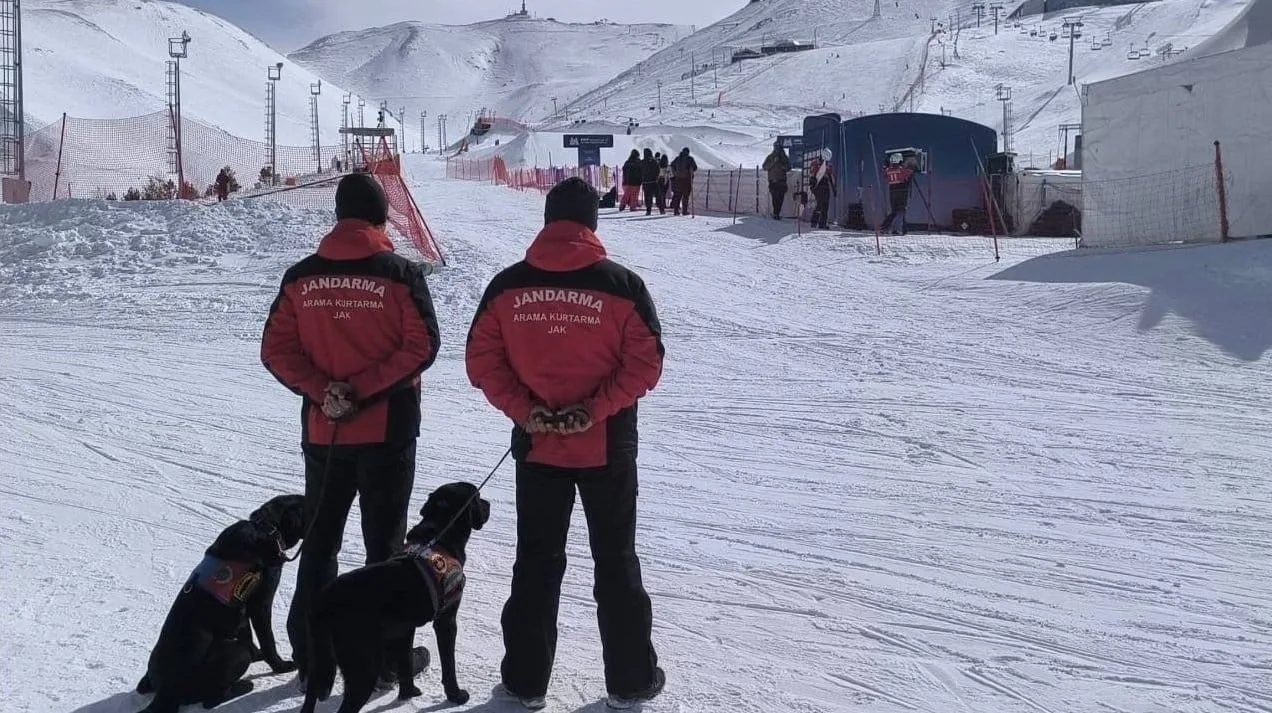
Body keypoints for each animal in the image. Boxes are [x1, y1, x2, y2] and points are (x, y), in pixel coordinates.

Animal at [134, 495, 305, 711]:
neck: (267, 527)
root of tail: (165, 694)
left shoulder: (240, 609)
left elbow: (247, 634)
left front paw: (257, 654)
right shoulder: (260, 605)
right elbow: (268, 642)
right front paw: (281, 667)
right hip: (236, 653)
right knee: (211, 700)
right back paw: (244, 686)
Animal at [300, 480, 488, 706]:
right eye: (478, 497)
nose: (488, 504)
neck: (439, 534)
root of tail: (323, 602)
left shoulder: (405, 628)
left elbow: (405, 662)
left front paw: (408, 692)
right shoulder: (446, 621)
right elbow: (448, 666)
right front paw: (456, 695)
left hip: (318, 661)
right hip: (363, 664)